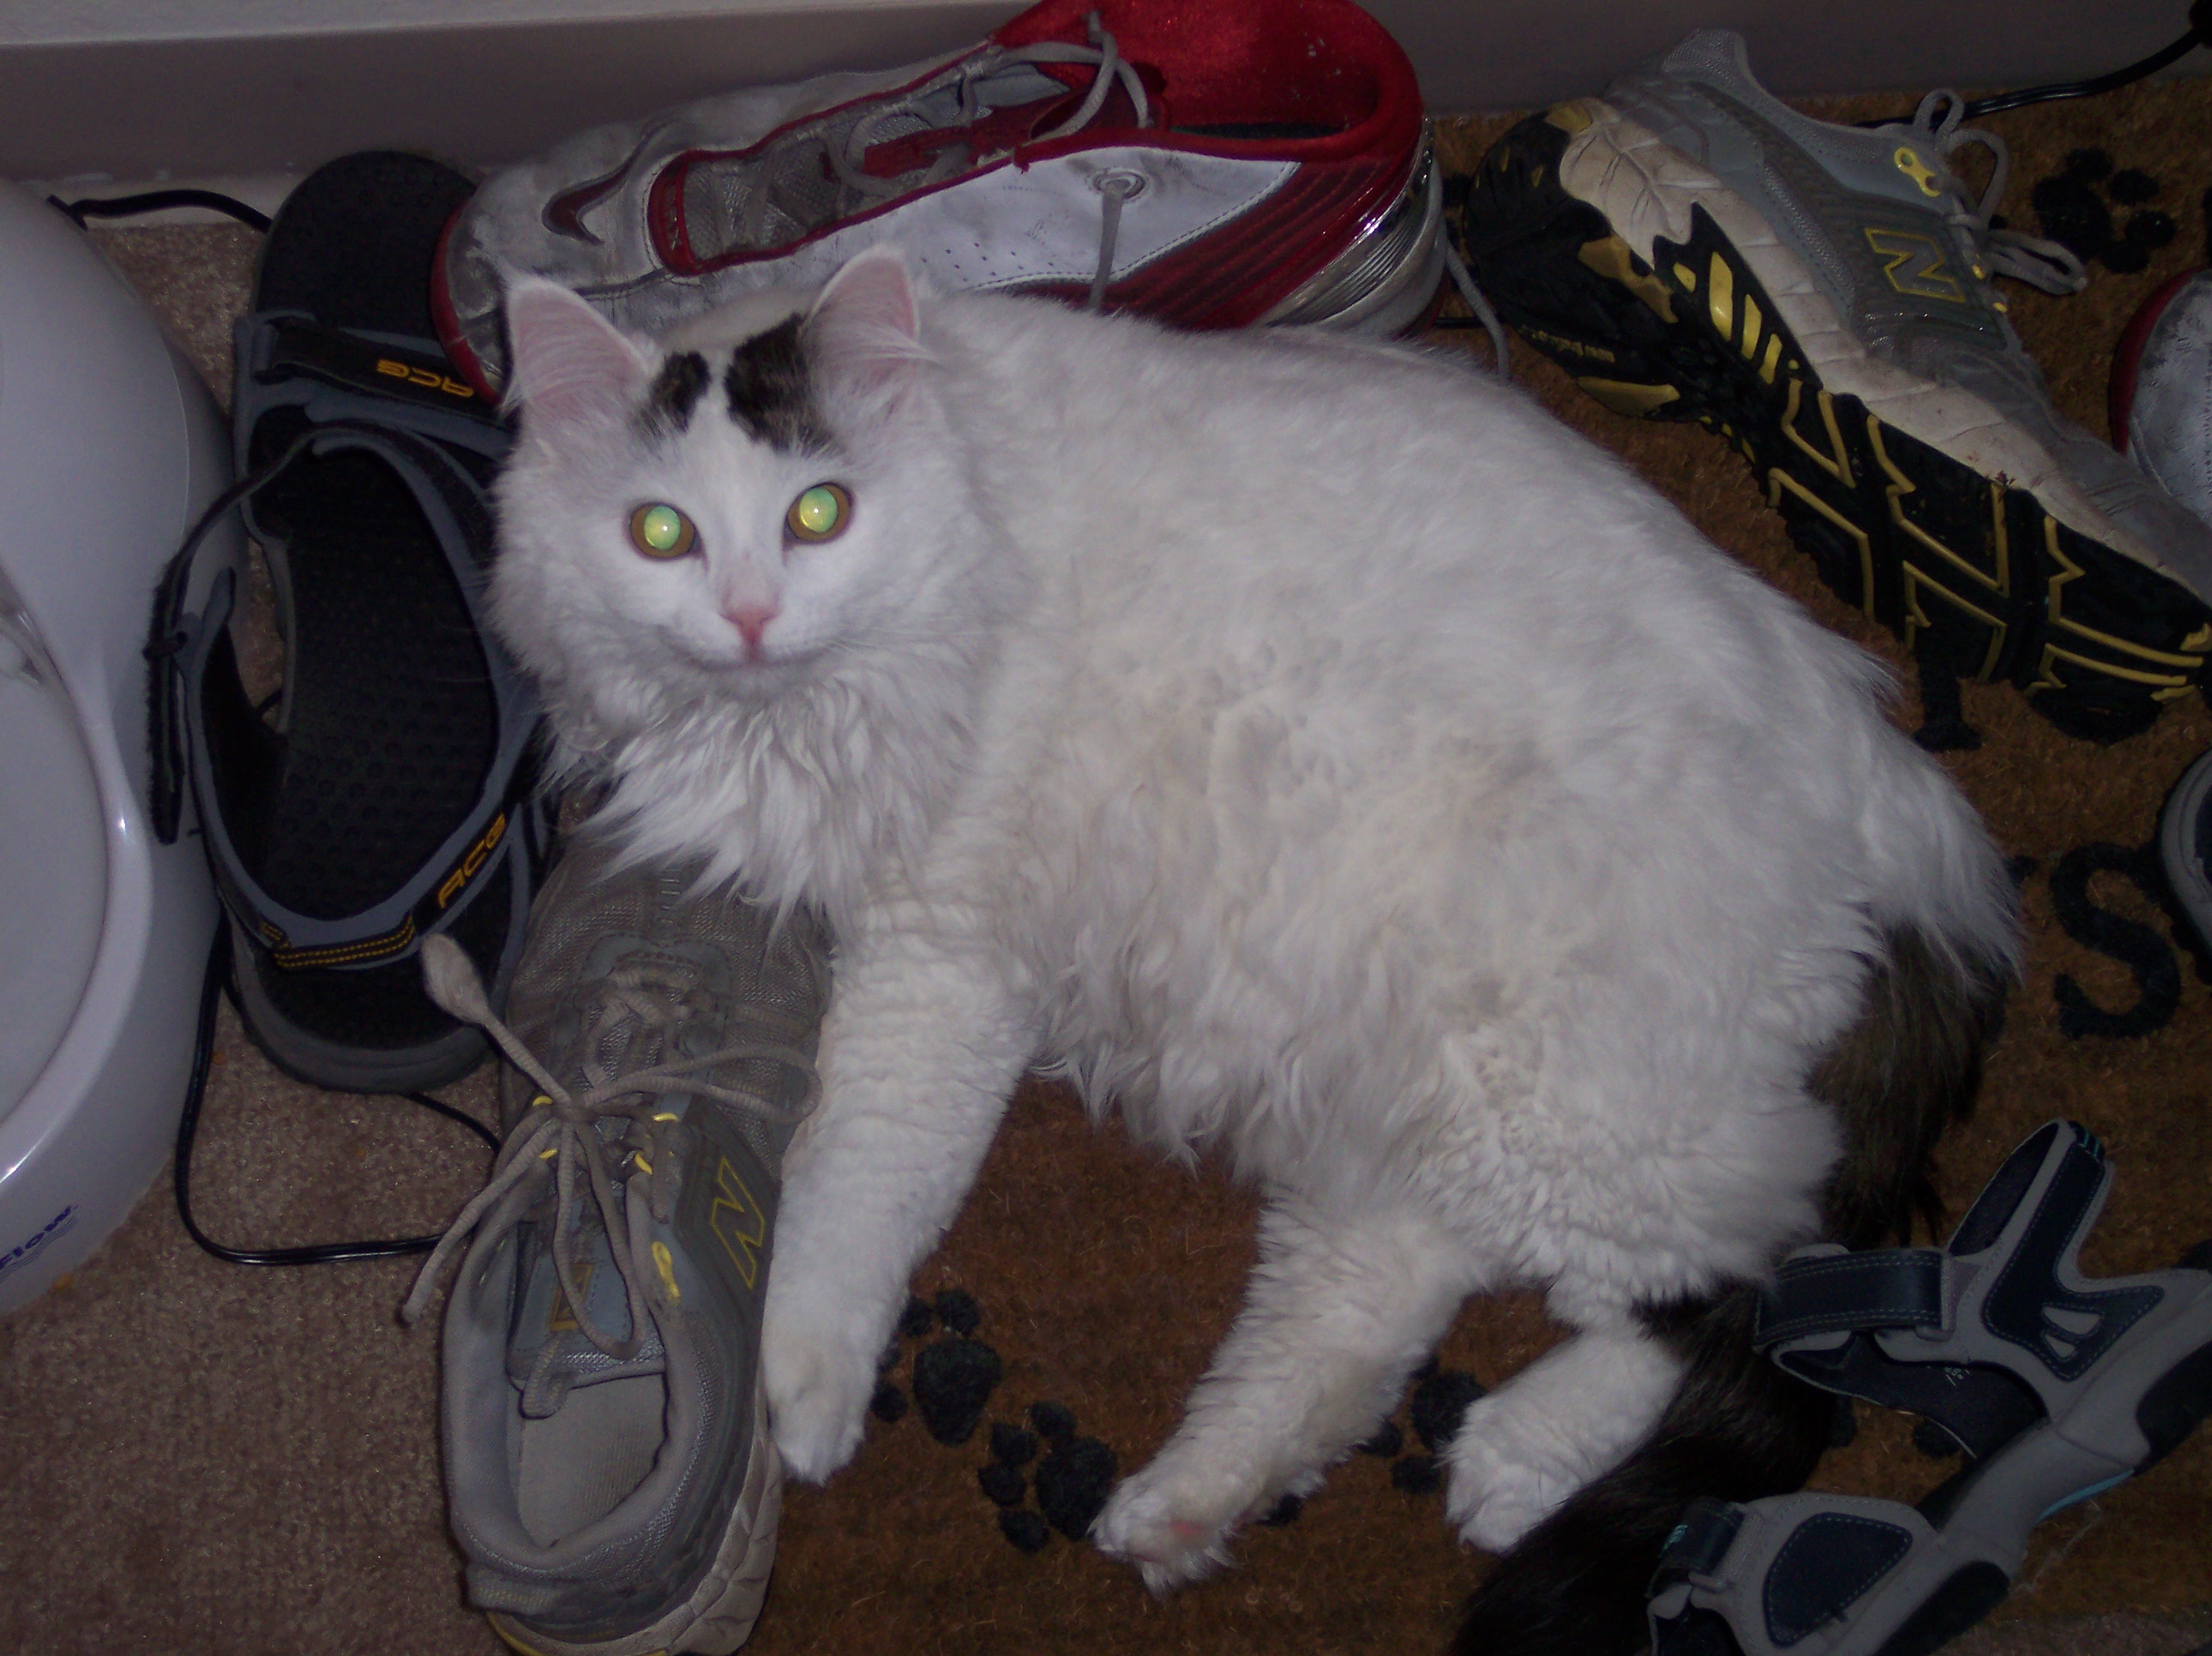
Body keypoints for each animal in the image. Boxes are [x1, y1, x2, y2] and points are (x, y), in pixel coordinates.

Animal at [488, 246, 2016, 1654]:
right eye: (662, 532)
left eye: (820, 514)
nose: (750, 616)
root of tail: (1887, 775)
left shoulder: (939, 948)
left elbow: (857, 1171)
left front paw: (802, 1388)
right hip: (1418, 1096)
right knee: (1371, 1312)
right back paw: (1181, 1512)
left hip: (1570, 1096)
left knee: (1749, 1288)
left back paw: (1509, 1467)